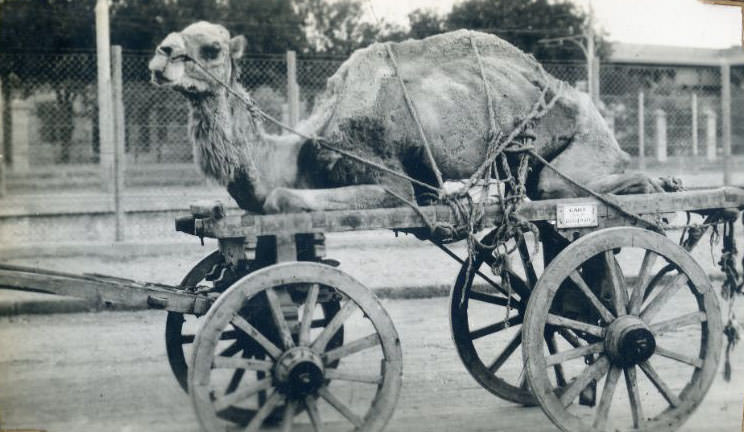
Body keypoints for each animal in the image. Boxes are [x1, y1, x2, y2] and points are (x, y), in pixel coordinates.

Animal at [148, 21, 672, 214]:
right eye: (176, 37)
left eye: (211, 48)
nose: (161, 54)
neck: (299, 149)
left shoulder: (391, 182)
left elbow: (279, 197)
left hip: (586, 137)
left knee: (559, 186)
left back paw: (661, 183)